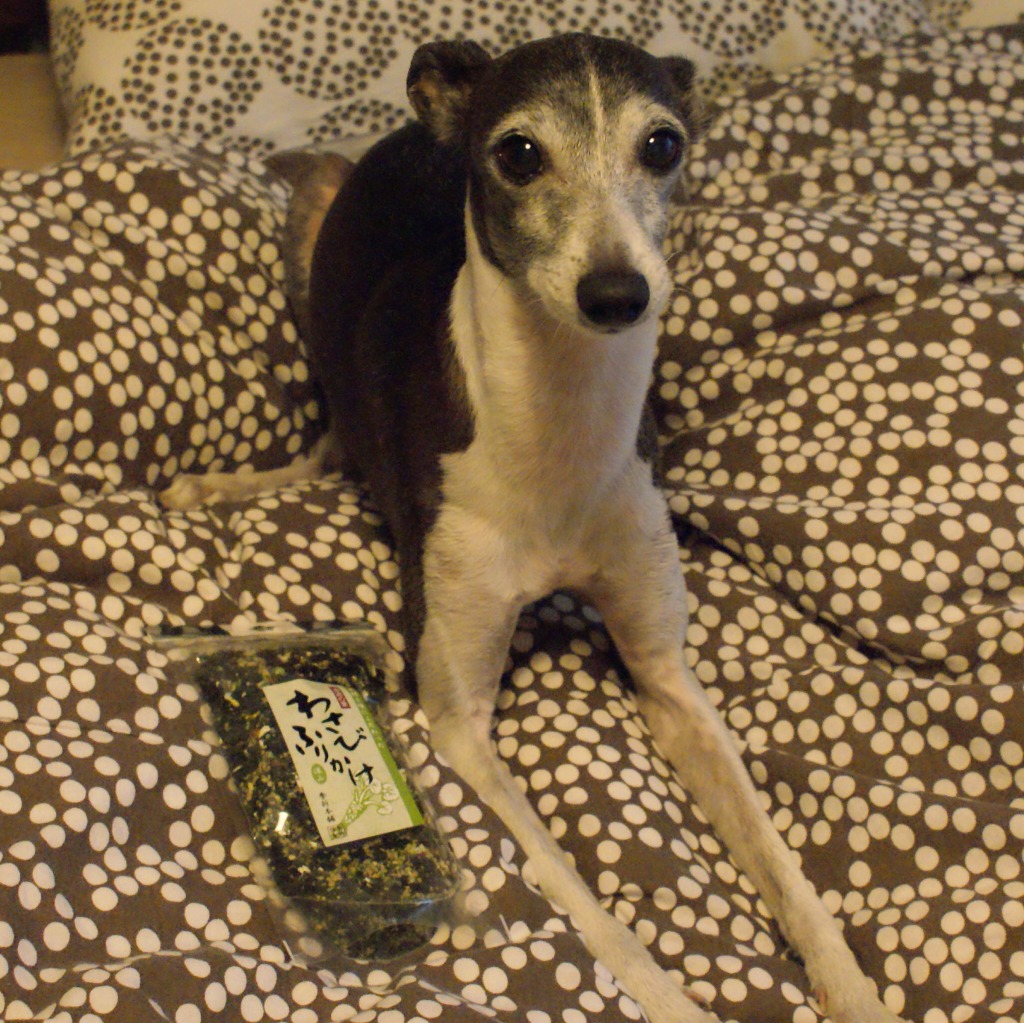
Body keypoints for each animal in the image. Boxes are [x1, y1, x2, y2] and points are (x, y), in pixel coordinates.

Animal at [162, 34, 905, 1023]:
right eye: (518, 152)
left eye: (663, 145)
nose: (617, 292)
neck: (560, 419)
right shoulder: (457, 717)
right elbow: (587, 903)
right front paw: (667, 996)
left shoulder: (668, 674)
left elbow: (779, 857)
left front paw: (854, 986)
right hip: (312, 247)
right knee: (326, 436)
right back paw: (219, 483)